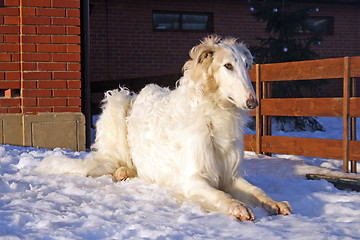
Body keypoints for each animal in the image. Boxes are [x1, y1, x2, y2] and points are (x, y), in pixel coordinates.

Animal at [36, 35, 292, 221]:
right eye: (227, 65)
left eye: (247, 66)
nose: (253, 102)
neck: (213, 115)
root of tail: (135, 94)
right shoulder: (191, 181)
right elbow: (222, 195)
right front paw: (238, 207)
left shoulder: (230, 176)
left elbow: (256, 191)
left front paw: (275, 202)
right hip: (117, 103)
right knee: (117, 163)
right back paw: (121, 172)